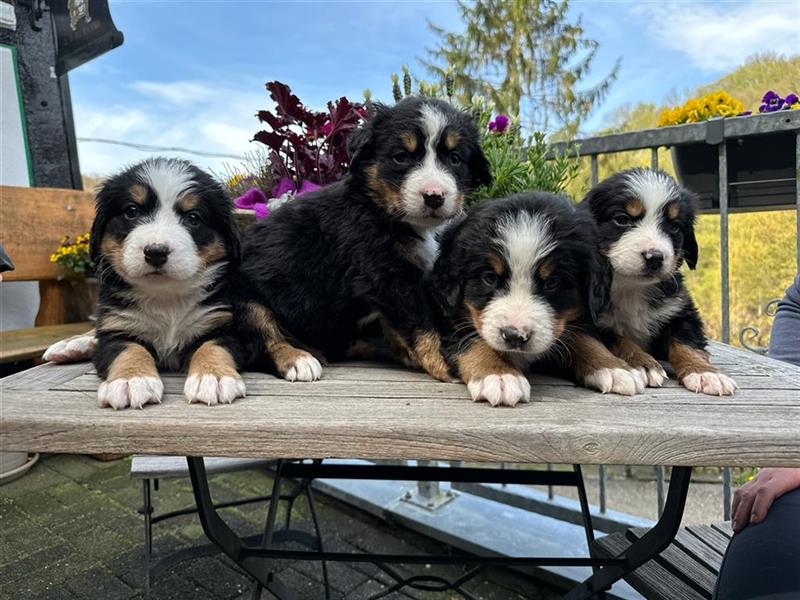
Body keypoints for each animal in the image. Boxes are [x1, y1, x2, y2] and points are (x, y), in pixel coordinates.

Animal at [79, 157, 247, 410]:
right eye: (131, 211)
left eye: (193, 217)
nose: (156, 252)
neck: (166, 297)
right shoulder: (115, 329)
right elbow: (129, 349)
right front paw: (131, 380)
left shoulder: (223, 326)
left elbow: (212, 347)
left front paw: (213, 377)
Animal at [234, 96, 490, 382]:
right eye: (401, 157)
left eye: (455, 159)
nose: (434, 196)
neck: (379, 210)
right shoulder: (387, 274)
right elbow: (421, 325)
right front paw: (443, 361)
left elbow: (394, 324)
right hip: (243, 295)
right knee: (262, 336)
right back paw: (298, 359)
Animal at [428, 192, 648, 408]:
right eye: (489, 278)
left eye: (552, 283)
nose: (515, 336)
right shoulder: (450, 315)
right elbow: (472, 339)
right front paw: (499, 375)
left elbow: (585, 339)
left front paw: (613, 367)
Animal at [580, 166, 736, 396]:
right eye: (622, 219)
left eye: (674, 227)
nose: (654, 257)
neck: (631, 287)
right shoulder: (596, 323)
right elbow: (621, 340)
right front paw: (643, 364)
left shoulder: (681, 311)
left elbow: (686, 344)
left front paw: (705, 372)